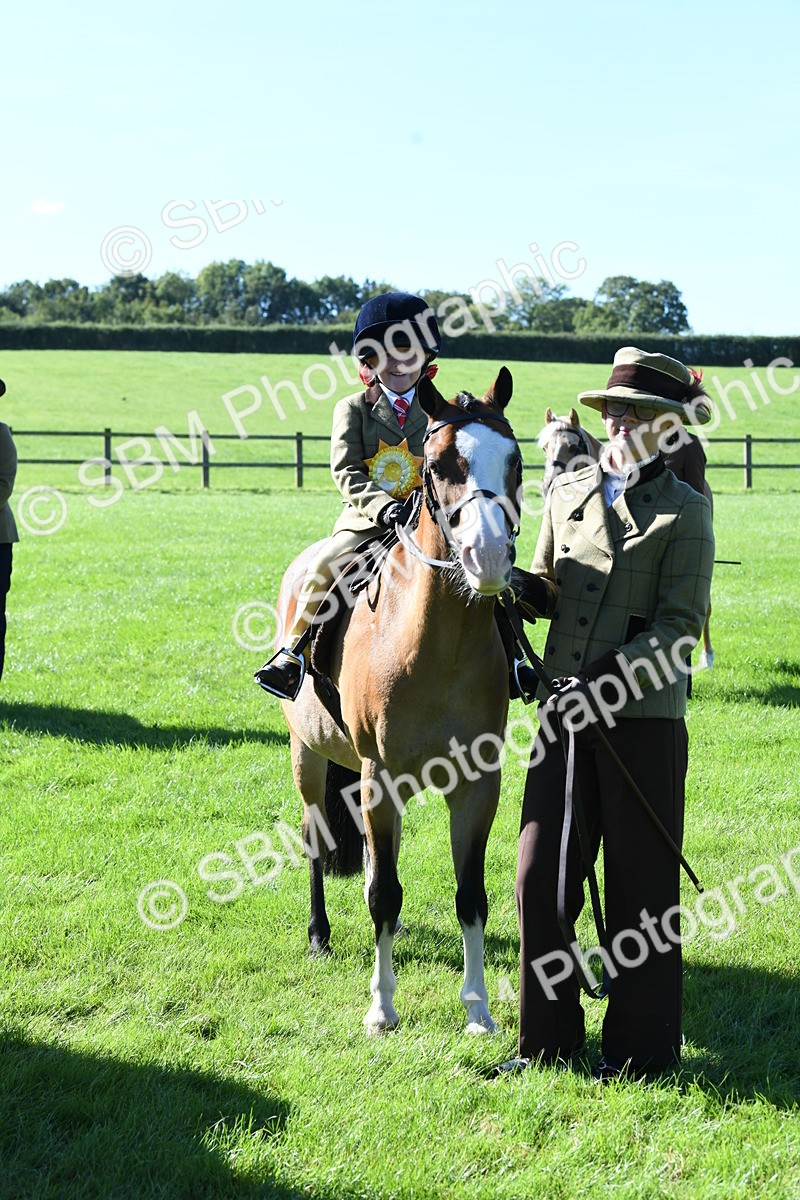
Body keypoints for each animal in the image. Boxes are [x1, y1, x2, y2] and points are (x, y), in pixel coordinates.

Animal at [275, 367, 521, 1034]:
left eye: (516, 460)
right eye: (438, 465)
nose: (489, 557)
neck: (436, 643)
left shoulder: (476, 784)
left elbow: (471, 895)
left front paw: (478, 1009)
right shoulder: (378, 777)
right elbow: (383, 891)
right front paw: (381, 1008)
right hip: (308, 756)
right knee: (317, 839)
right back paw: (318, 934)